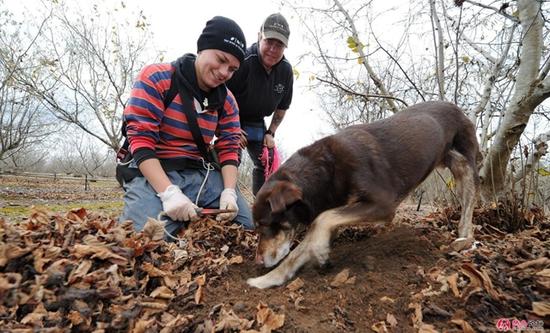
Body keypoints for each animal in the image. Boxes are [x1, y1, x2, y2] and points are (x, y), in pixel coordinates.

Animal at [248, 100, 480, 288]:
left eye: (265, 225)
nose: (257, 261)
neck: (326, 169)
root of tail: (459, 109)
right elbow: (302, 246)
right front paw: (268, 279)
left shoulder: (383, 204)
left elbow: (322, 220)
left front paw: (320, 253)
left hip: (465, 167)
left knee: (468, 209)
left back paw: (464, 240)